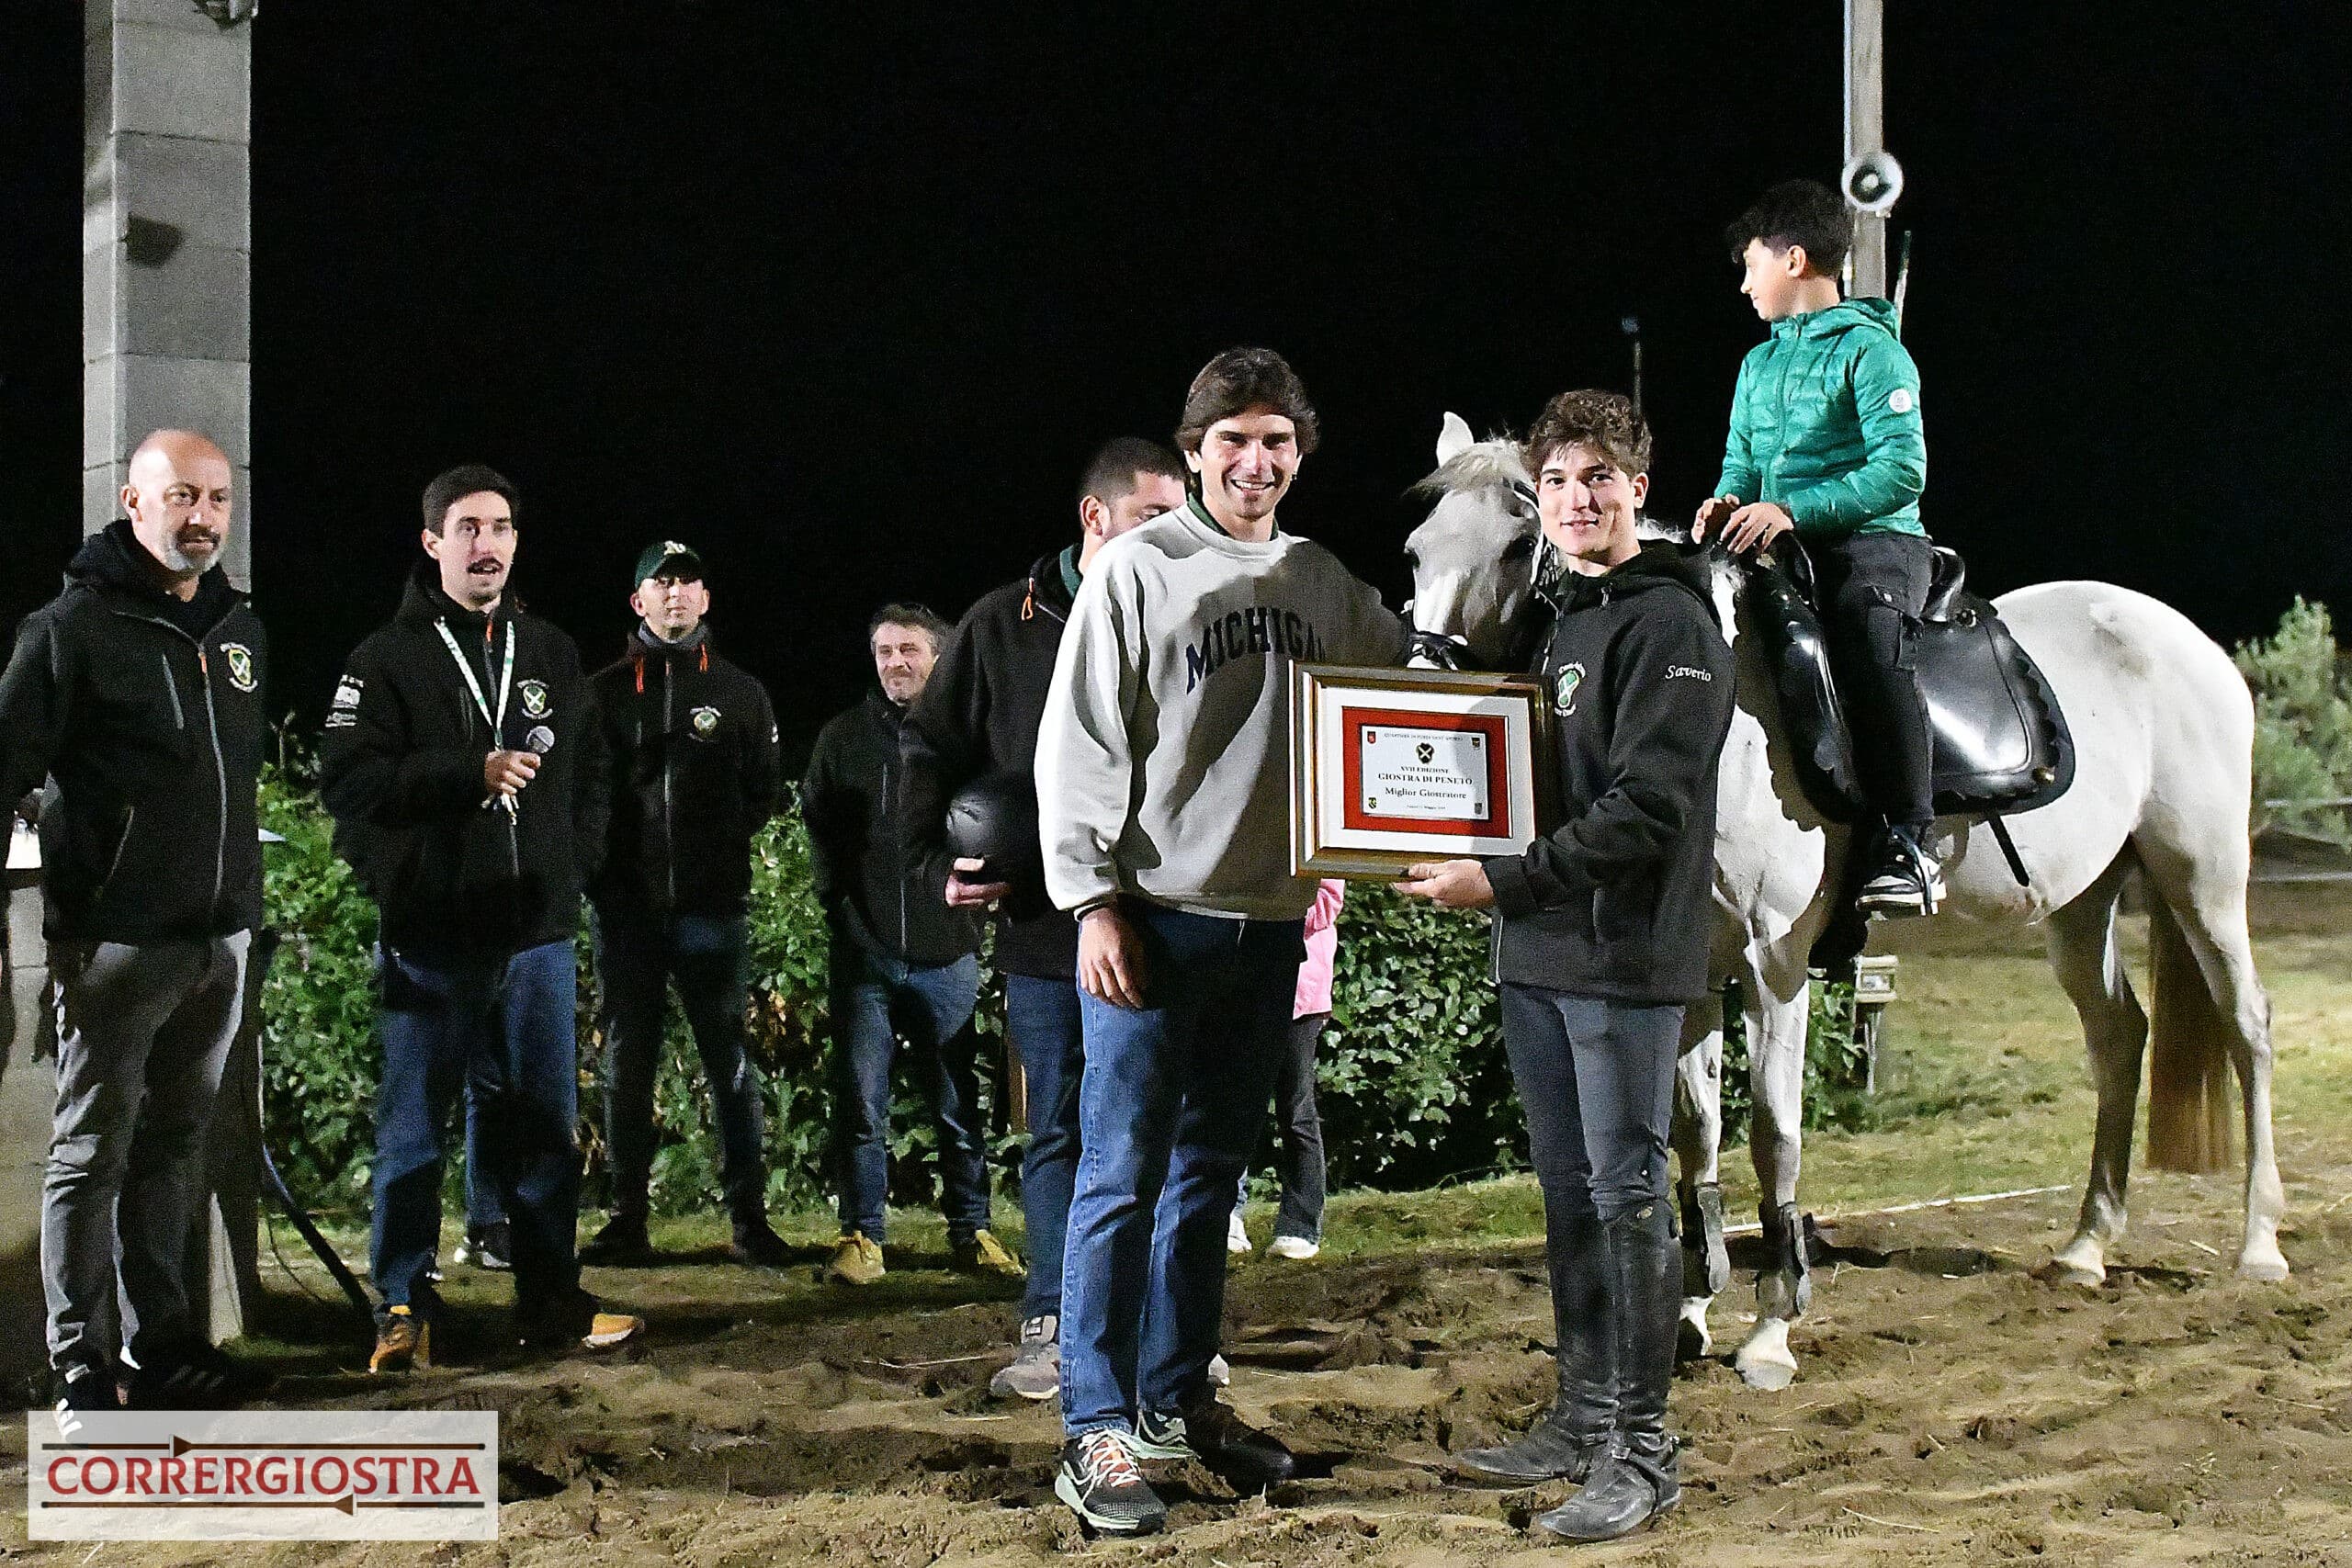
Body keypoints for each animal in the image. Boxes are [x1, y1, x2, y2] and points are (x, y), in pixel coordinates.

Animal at [1401, 413, 2286, 1382]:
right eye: (1417, 551)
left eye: (1516, 543)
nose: (1423, 696)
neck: (1727, 702)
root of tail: (2192, 643)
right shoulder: (1693, 971)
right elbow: (1698, 1133)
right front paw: (1693, 1310)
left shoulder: (1774, 965)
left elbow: (1774, 1133)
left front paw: (1772, 1327)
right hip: (2082, 904)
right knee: (2120, 1038)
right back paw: (2087, 1246)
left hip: (2203, 877)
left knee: (2246, 1024)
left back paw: (2258, 1245)